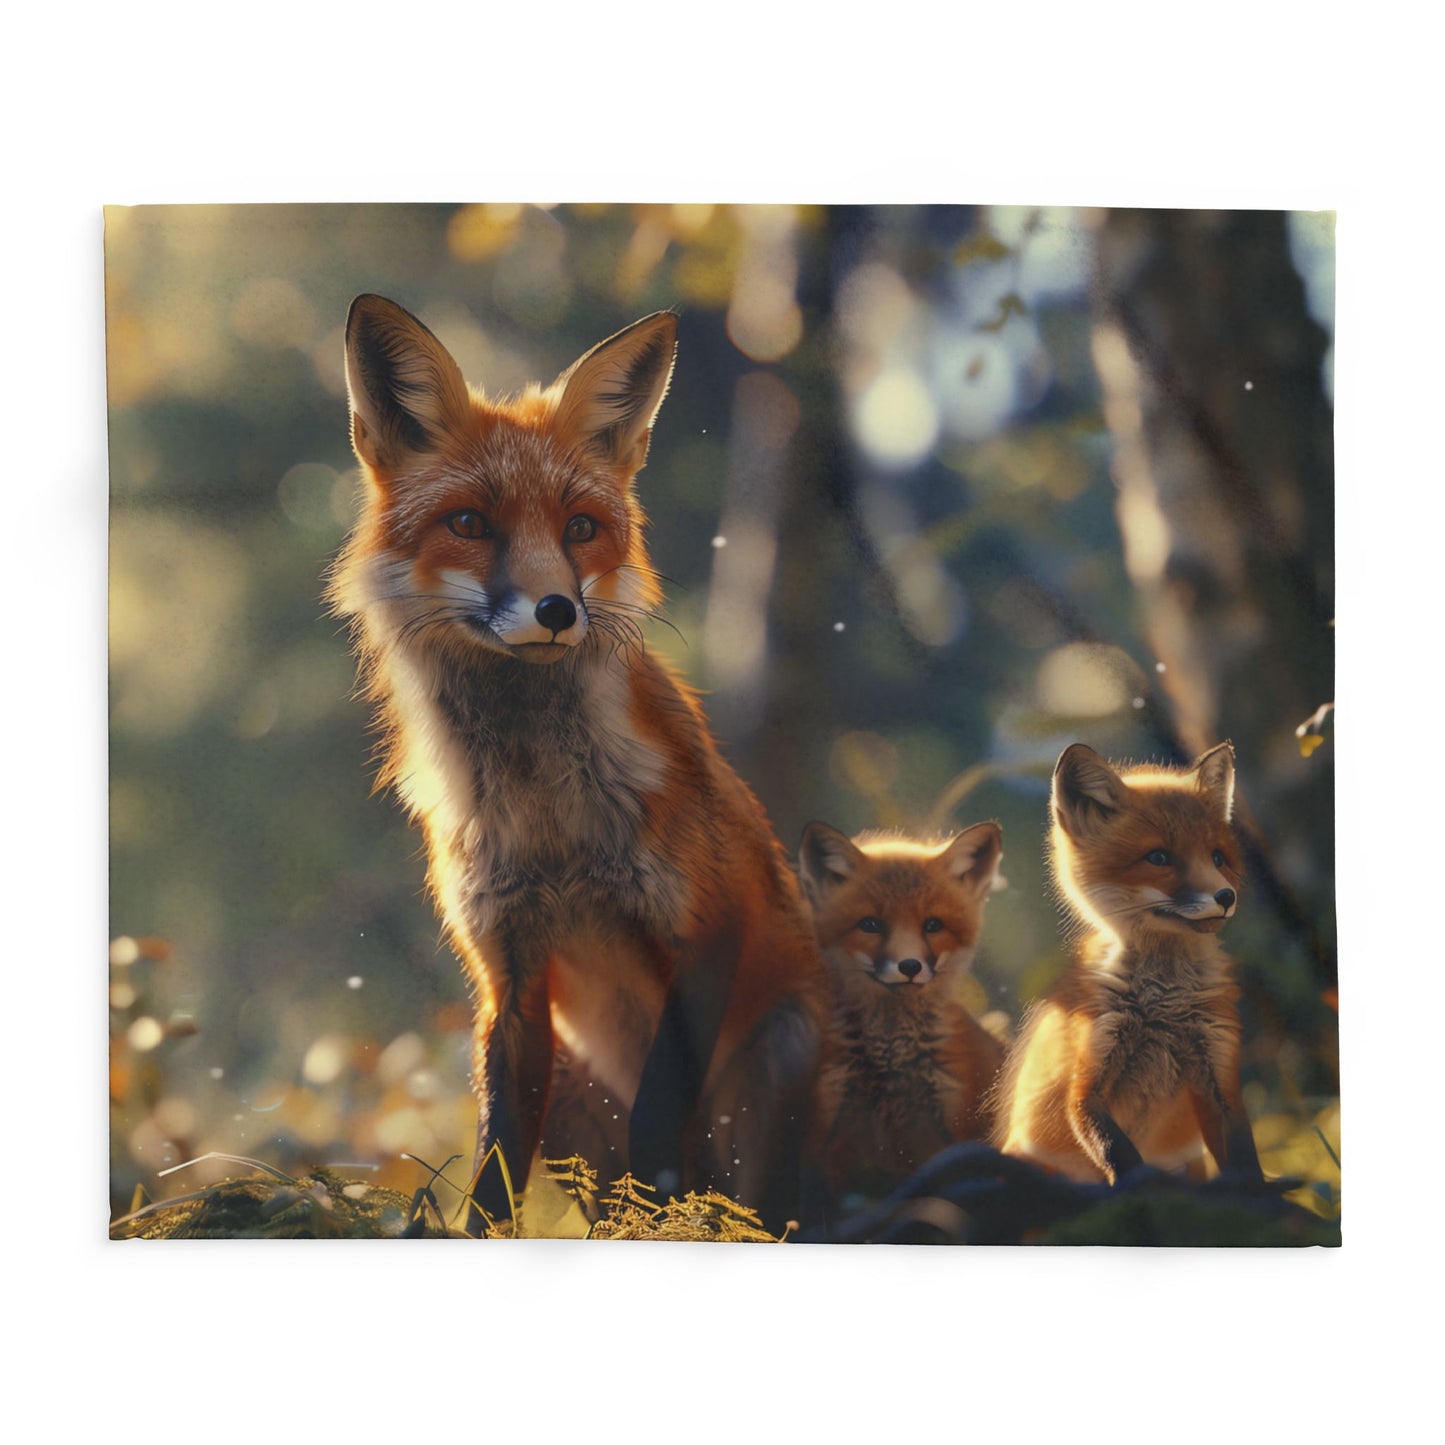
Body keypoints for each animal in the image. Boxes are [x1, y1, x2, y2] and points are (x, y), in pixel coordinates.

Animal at [329, 295, 827, 1232]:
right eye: (470, 523)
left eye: (581, 529)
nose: (556, 609)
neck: (549, 822)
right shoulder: (509, 975)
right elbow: (493, 1160)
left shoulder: (709, 926)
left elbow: (658, 1126)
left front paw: (664, 1225)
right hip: (568, 1076)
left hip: (784, 1045)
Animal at [993, 742, 1263, 1185]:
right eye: (1159, 857)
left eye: (1218, 857)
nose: (1226, 897)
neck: (1165, 1000)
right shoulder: (1088, 1077)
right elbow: (1117, 1154)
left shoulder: (1219, 1068)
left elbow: (1249, 1167)